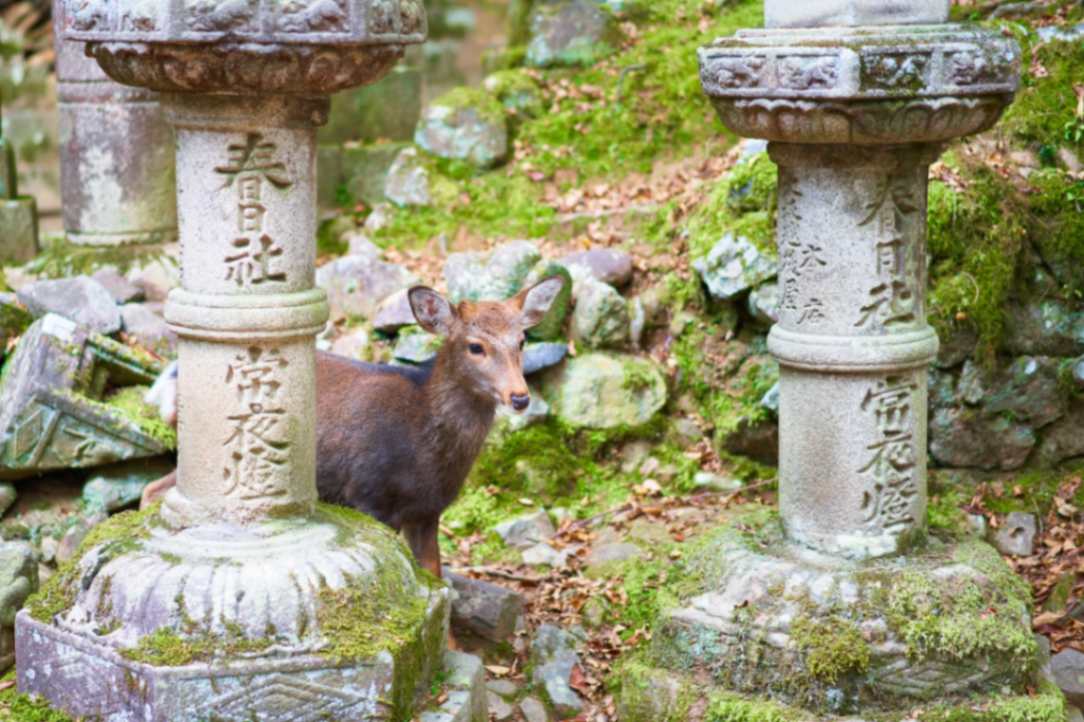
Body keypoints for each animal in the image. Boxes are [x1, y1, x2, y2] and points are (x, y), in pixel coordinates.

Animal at [140, 276, 565, 581]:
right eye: (475, 346)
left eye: (521, 340)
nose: (520, 396)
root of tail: (167, 381)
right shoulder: (367, 493)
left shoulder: (428, 509)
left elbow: (435, 578)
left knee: (152, 487)